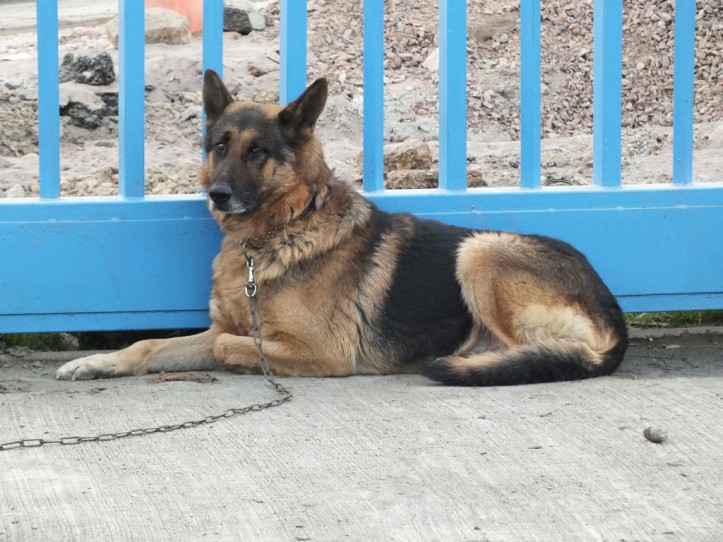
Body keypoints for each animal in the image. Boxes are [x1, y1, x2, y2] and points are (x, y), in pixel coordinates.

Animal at [56, 70, 628, 385]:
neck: (279, 231)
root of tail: (612, 314)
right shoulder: (223, 327)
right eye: (220, 146)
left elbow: (228, 347)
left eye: (257, 152)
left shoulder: (321, 352)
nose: (217, 194)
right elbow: (150, 346)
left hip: (479, 252)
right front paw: (98, 362)